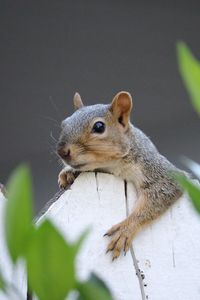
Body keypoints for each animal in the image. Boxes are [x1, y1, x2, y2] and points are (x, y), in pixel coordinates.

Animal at [55, 91, 183, 260]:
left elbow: (162, 192)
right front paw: (68, 172)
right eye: (64, 123)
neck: (112, 165)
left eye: (99, 127)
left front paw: (125, 229)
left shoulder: (154, 168)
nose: (61, 151)